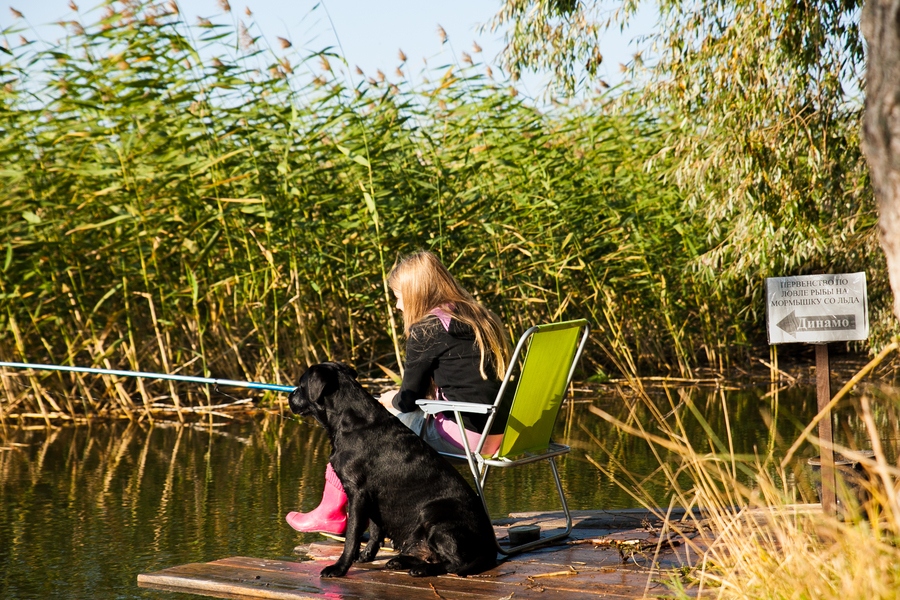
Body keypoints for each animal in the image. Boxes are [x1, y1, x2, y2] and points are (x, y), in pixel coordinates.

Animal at [288, 360, 500, 576]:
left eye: (301, 385)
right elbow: (374, 532)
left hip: (433, 514)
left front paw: (339, 567)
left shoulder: (358, 493)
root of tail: (491, 549)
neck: (349, 421)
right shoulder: (373, 498)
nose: (289, 395)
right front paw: (366, 556)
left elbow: (352, 536)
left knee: (456, 563)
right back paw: (400, 561)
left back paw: (422, 569)